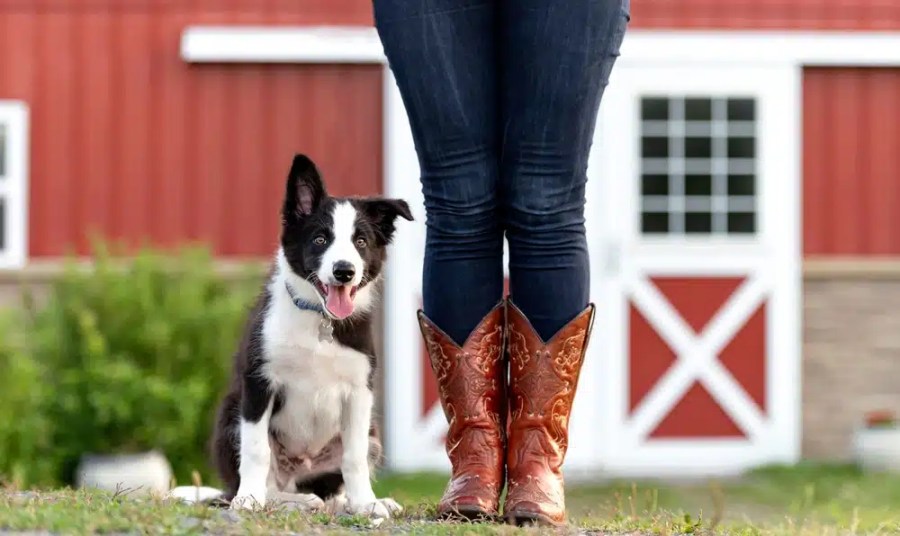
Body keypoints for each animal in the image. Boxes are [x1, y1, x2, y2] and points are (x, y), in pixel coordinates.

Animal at [171, 153, 414, 516]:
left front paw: (365, 504)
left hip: (372, 432)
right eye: (320, 239)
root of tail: (301, 469)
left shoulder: (359, 391)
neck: (319, 321)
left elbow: (354, 458)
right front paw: (249, 500)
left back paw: (343, 502)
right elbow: (256, 450)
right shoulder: (259, 382)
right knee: (269, 483)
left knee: (333, 483)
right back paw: (289, 501)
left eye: (361, 242)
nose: (344, 271)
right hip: (231, 415)